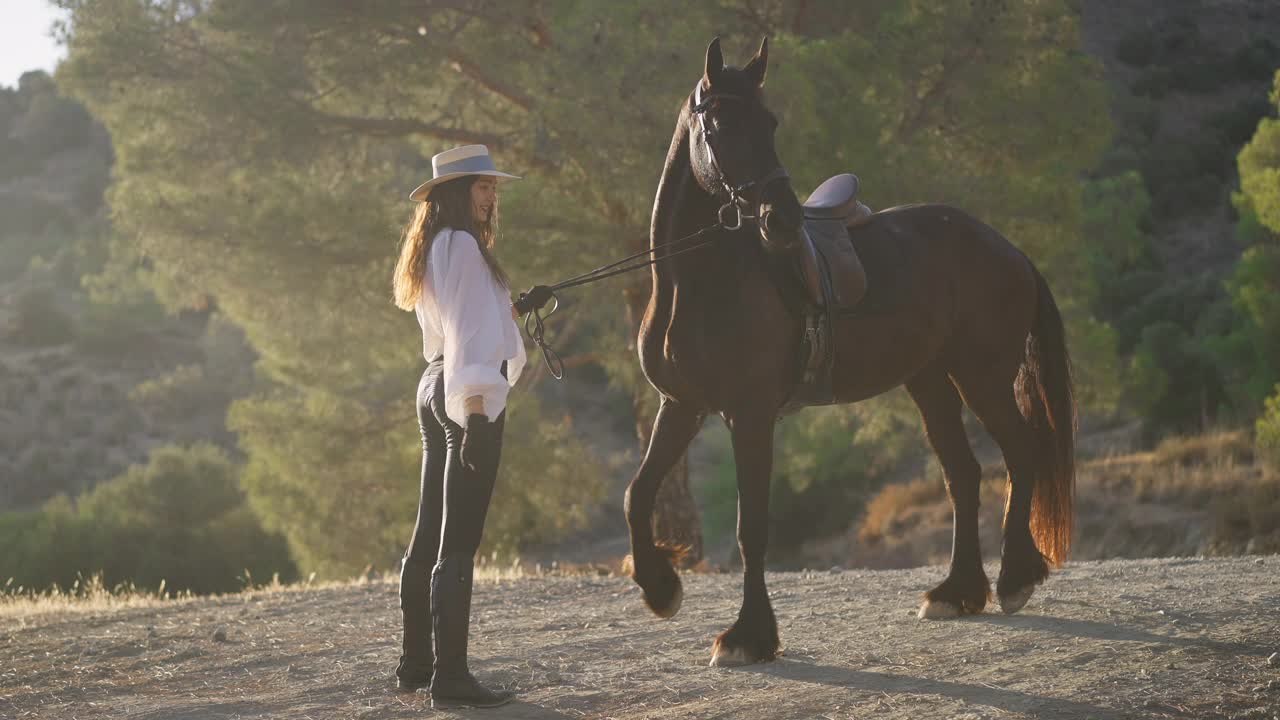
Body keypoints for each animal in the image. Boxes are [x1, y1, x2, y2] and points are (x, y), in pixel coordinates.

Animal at [624, 37, 1075, 666]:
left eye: (769, 122)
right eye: (719, 124)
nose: (783, 218)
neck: (698, 283)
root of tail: (1005, 248)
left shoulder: (749, 416)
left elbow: (751, 526)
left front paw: (748, 636)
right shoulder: (682, 406)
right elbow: (638, 494)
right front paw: (660, 588)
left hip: (981, 377)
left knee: (1019, 452)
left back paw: (1014, 579)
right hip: (930, 381)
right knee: (963, 474)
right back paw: (957, 592)